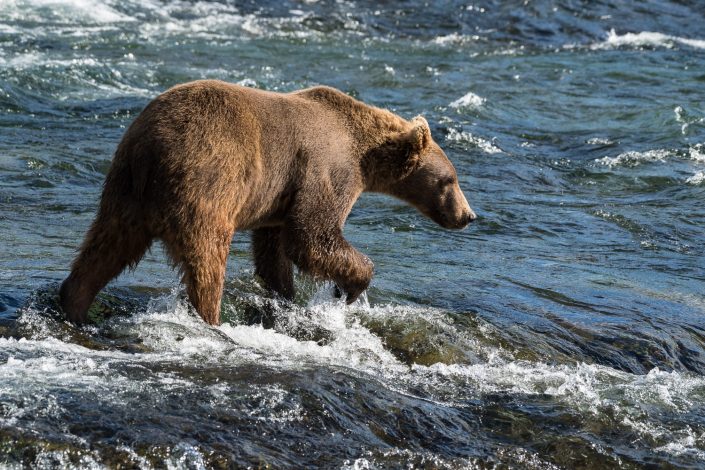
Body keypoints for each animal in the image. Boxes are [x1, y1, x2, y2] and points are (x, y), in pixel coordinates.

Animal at [57, 80, 476, 326]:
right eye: (450, 180)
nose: (468, 215)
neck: (365, 153)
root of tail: (149, 147)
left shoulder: (279, 197)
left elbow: (275, 250)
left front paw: (285, 296)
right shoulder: (325, 169)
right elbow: (312, 235)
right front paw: (350, 287)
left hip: (125, 190)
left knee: (105, 247)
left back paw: (75, 302)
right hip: (207, 181)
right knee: (207, 256)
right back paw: (211, 317)